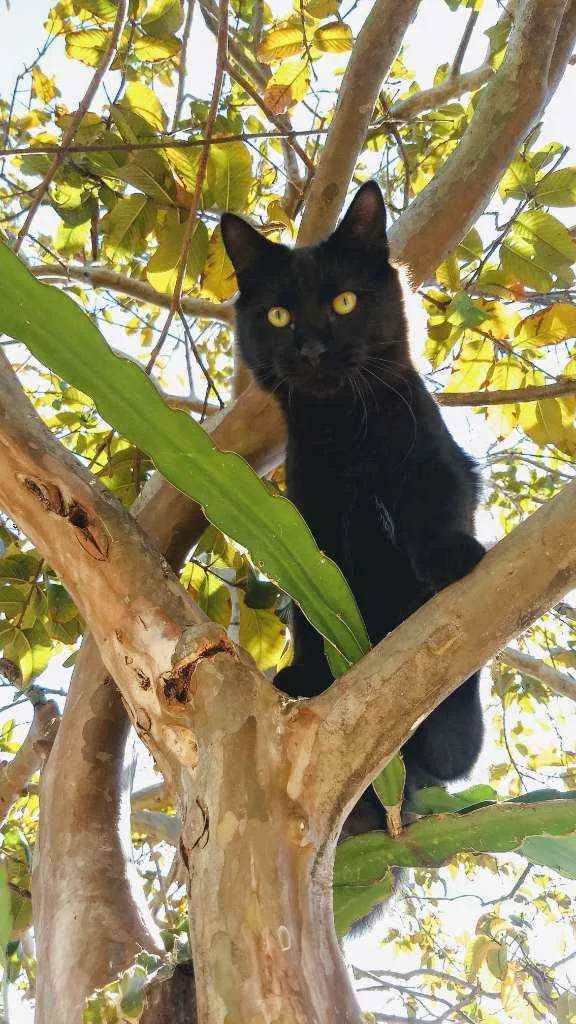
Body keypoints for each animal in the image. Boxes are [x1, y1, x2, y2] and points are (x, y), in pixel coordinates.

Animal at [219, 182, 483, 839]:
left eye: (343, 301)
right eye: (279, 316)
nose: (313, 347)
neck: (347, 434)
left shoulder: (436, 463)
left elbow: (433, 511)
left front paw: (450, 556)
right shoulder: (308, 515)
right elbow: (314, 607)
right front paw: (310, 673)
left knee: (455, 749)